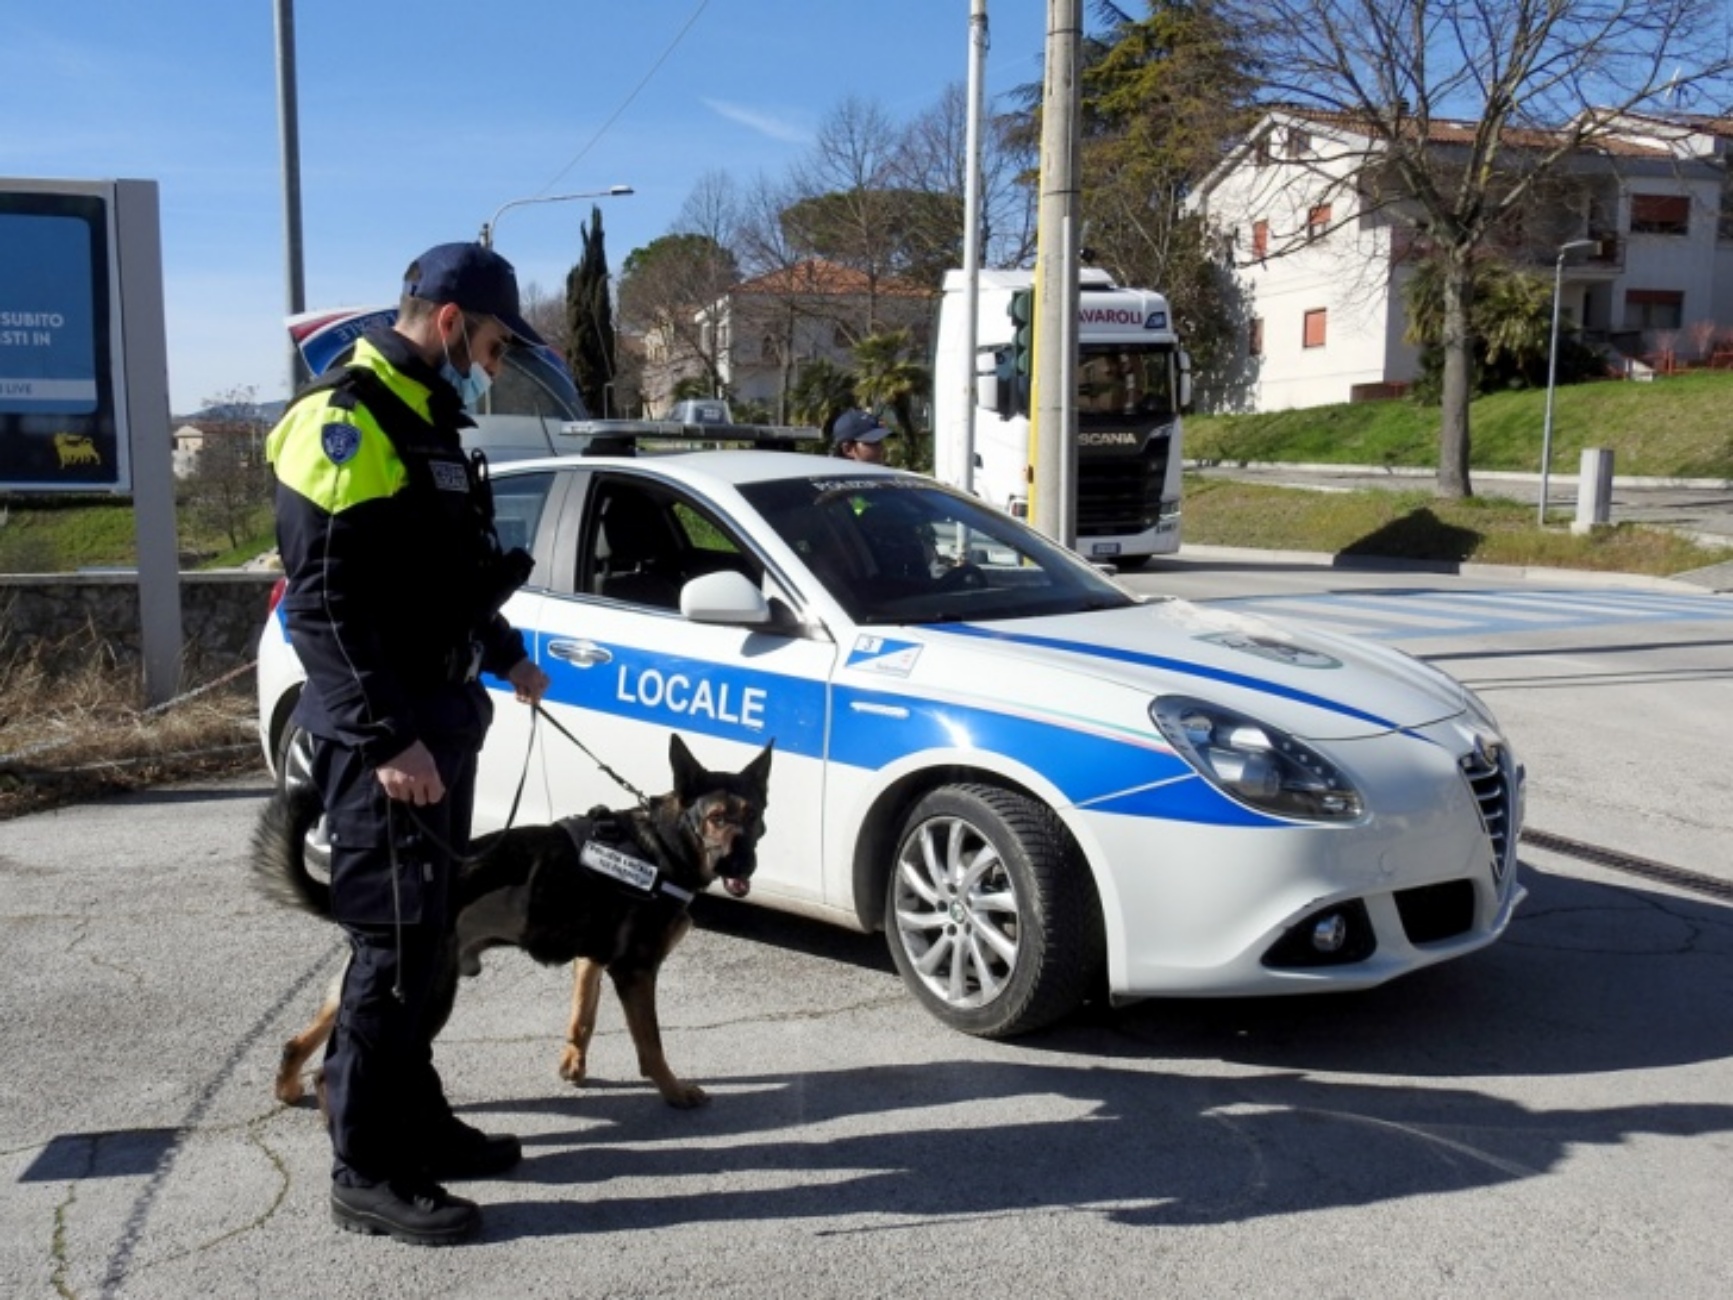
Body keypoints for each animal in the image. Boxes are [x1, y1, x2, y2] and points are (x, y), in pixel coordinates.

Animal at [253, 738, 772, 1116]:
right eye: (717, 818)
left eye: (754, 818)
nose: (742, 863)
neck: (665, 841)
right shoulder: (636, 972)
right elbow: (652, 1046)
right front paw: (674, 1091)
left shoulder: (592, 960)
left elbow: (582, 1017)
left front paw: (574, 1066)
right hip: (426, 997)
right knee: (338, 1068)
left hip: (362, 984)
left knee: (297, 1041)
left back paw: (288, 1088)